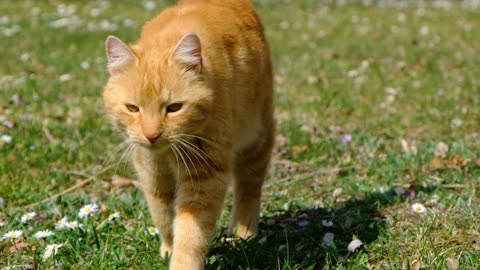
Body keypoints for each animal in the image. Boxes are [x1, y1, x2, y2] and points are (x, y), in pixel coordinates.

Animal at [102, 1, 272, 268]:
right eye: (133, 108)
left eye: (174, 108)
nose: (151, 135)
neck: (166, 154)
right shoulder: (152, 173)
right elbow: (162, 214)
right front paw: (168, 249)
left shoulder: (205, 176)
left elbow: (191, 233)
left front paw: (182, 261)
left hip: (256, 138)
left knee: (249, 188)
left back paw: (243, 232)